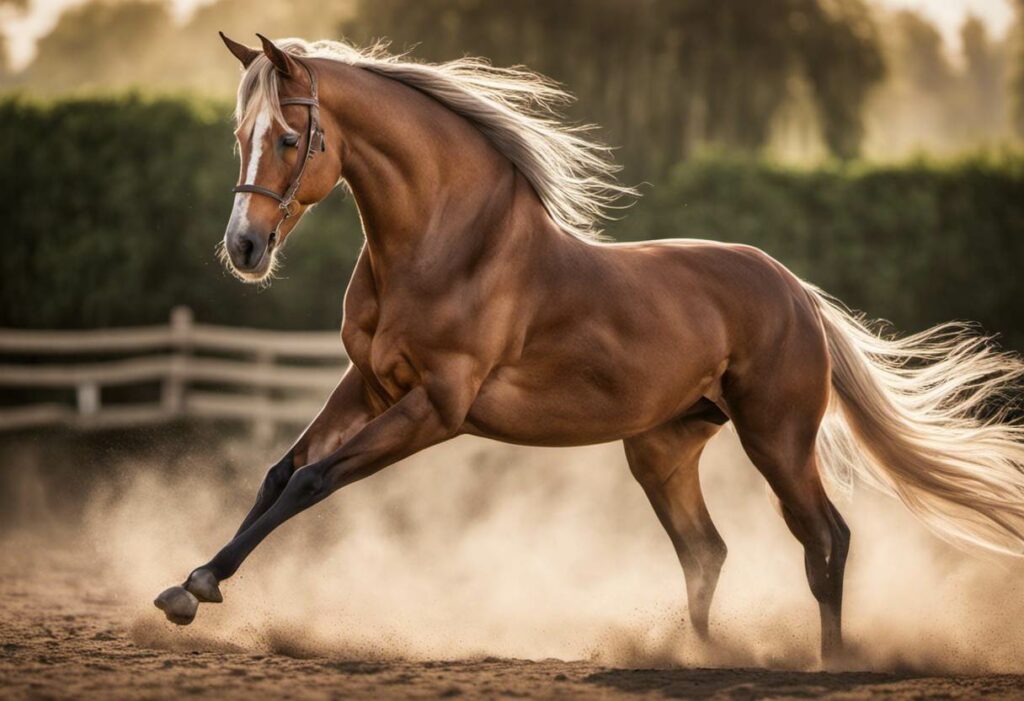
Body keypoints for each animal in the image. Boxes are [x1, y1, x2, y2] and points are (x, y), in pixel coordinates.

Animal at [155, 34, 1024, 667]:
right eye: (240, 137)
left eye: (288, 137)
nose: (244, 248)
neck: (446, 244)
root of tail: (796, 294)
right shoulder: (366, 385)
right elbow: (280, 473)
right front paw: (188, 584)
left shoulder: (435, 406)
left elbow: (314, 481)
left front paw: (197, 587)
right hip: (662, 448)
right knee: (707, 551)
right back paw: (695, 656)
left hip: (777, 438)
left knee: (825, 539)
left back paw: (831, 662)